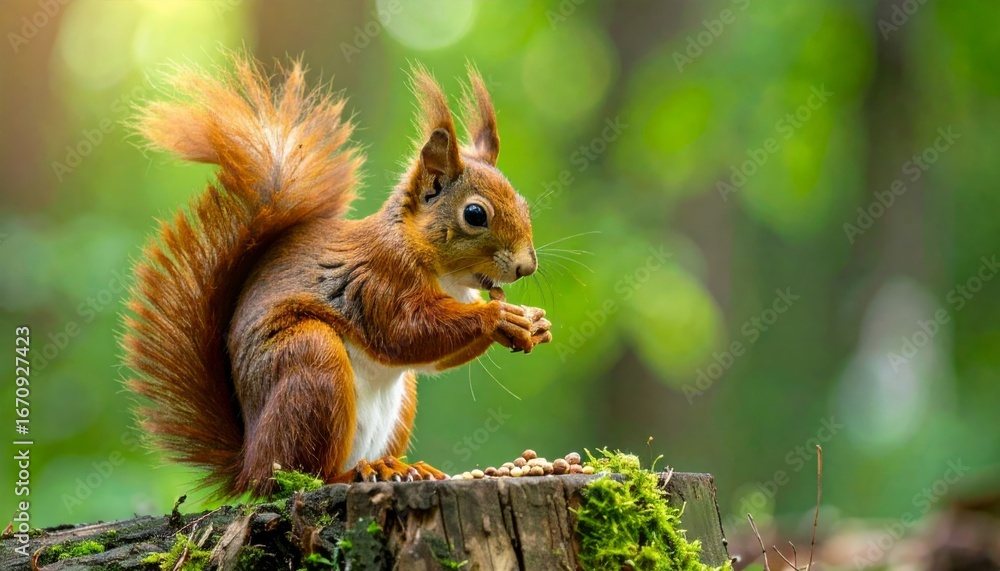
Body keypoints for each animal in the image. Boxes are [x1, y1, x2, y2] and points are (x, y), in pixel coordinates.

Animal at [122, 54, 552, 497]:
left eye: (523, 205)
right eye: (475, 214)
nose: (527, 267)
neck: (442, 272)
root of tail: (247, 463)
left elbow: (431, 357)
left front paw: (533, 324)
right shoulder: (379, 279)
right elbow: (406, 332)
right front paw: (498, 317)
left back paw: (403, 467)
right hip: (311, 365)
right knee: (303, 474)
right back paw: (360, 473)